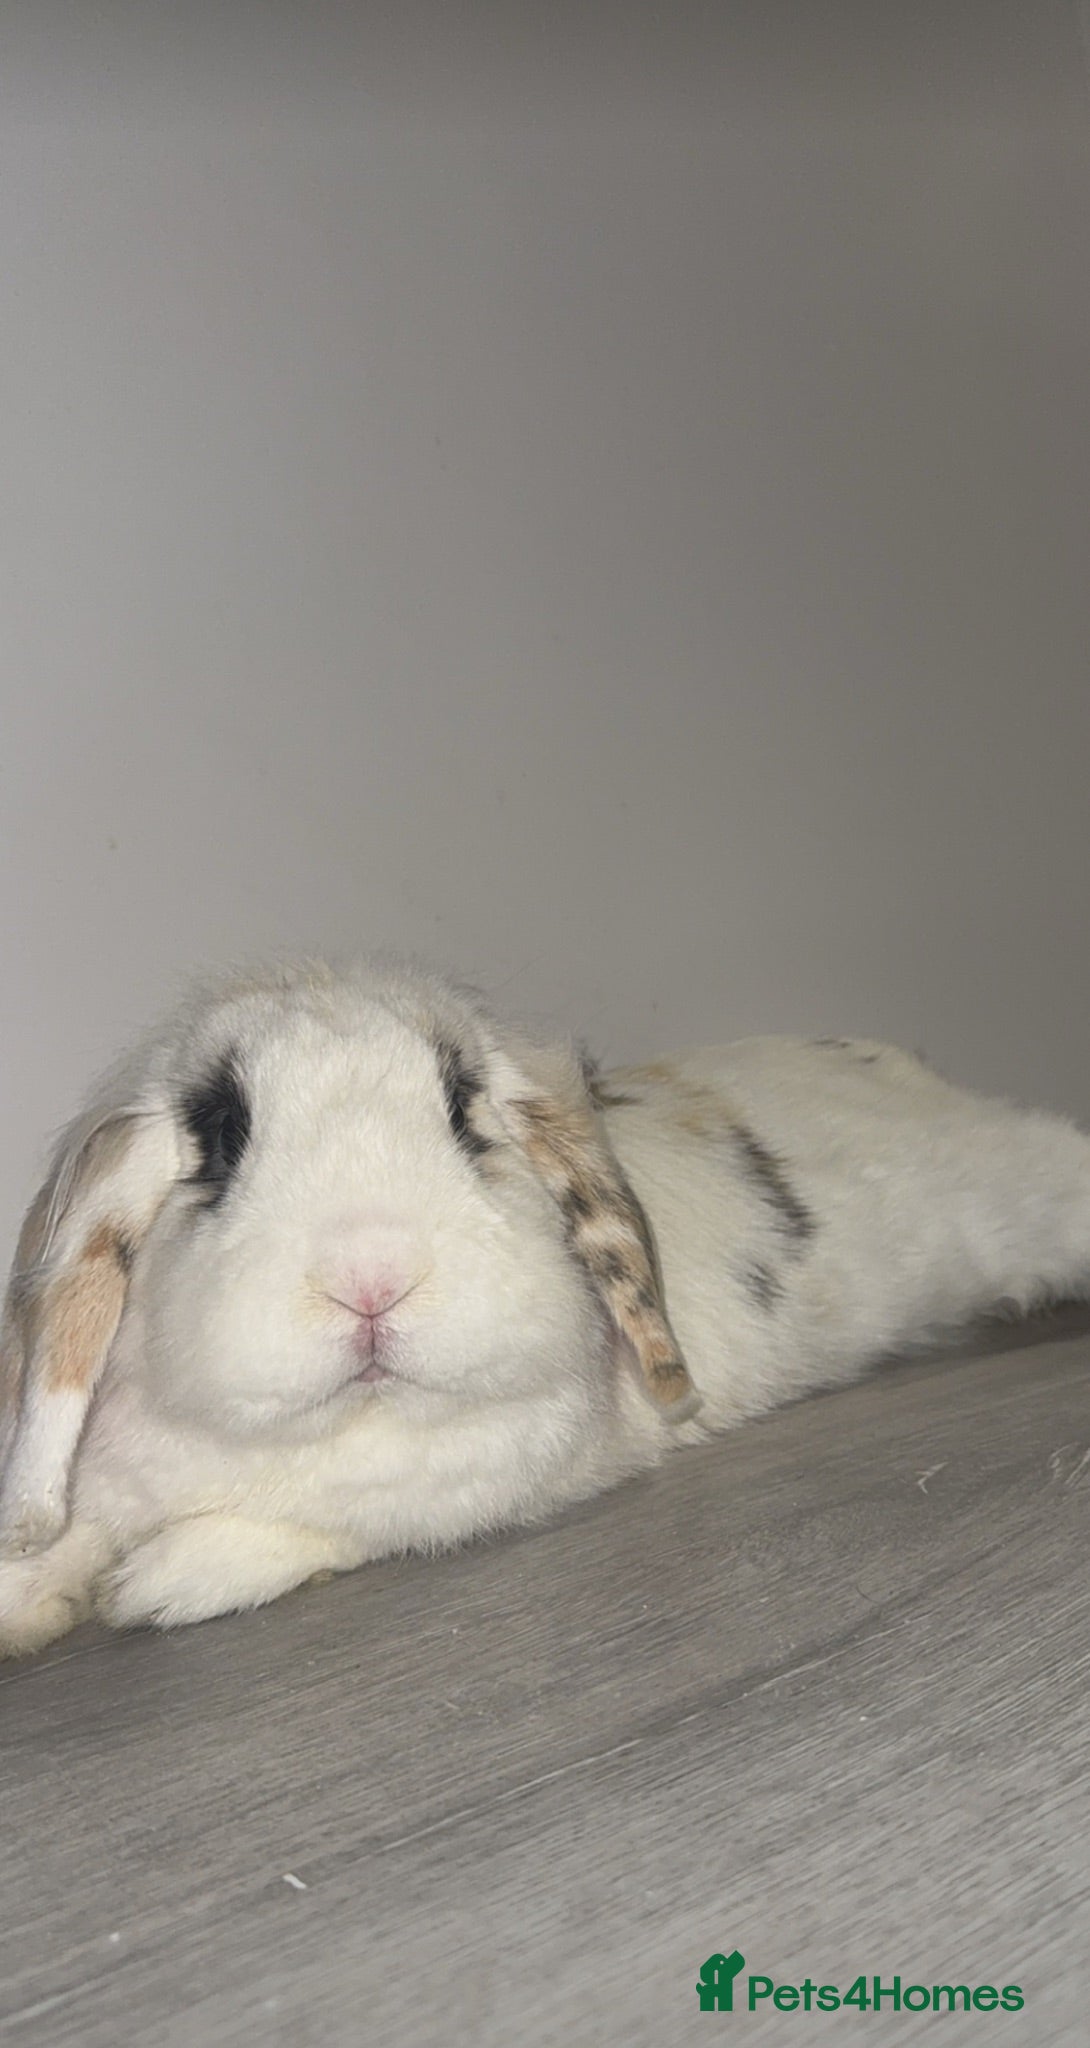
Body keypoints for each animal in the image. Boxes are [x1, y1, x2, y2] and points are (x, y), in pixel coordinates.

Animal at [2, 954, 1090, 1657]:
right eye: (222, 1135)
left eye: (463, 1113)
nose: (371, 1275)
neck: (348, 1419)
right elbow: (70, 1531)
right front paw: (33, 1597)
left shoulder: (491, 1480)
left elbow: (333, 1524)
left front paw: (154, 1587)